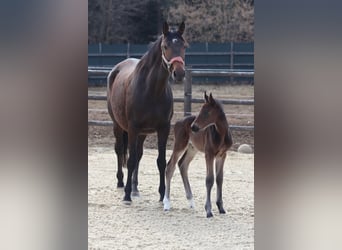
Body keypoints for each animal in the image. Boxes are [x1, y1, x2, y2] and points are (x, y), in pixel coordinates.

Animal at [107, 20, 187, 202]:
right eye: (165, 46)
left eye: (184, 46)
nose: (179, 73)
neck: (151, 91)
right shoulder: (132, 128)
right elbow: (129, 160)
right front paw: (127, 195)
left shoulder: (163, 128)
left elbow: (161, 161)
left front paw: (162, 194)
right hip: (118, 126)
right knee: (120, 150)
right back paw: (121, 183)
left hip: (142, 133)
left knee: (138, 154)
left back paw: (135, 188)